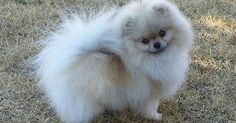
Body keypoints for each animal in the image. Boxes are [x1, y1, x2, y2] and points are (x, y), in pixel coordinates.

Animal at [35, 0, 194, 122]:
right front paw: (156, 117)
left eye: (162, 32)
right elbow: (150, 107)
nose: (157, 44)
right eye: (144, 41)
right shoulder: (149, 94)